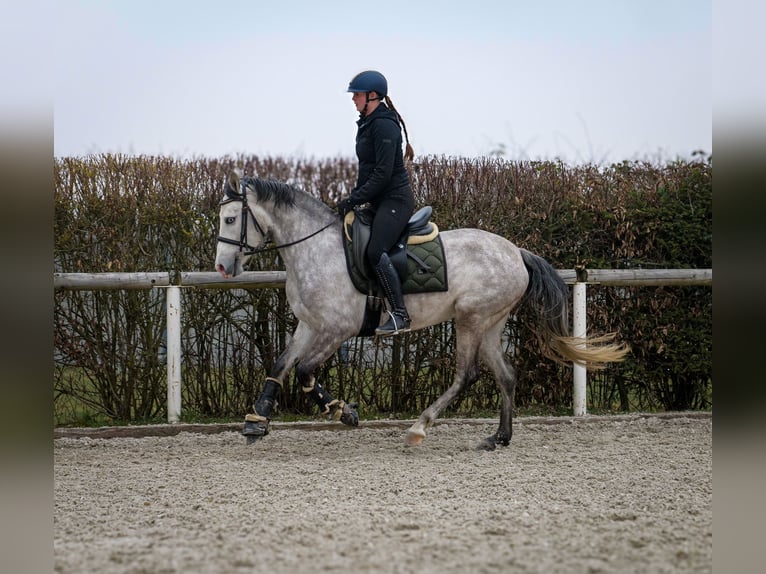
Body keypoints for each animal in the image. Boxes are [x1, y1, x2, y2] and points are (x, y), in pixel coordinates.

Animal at [216, 173, 632, 452]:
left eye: (230, 219)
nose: (222, 267)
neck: (317, 249)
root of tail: (517, 252)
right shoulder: (308, 324)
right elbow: (281, 364)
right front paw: (256, 421)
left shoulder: (336, 329)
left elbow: (303, 370)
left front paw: (343, 412)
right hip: (490, 323)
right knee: (506, 375)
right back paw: (499, 437)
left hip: (470, 319)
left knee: (466, 375)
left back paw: (420, 427)